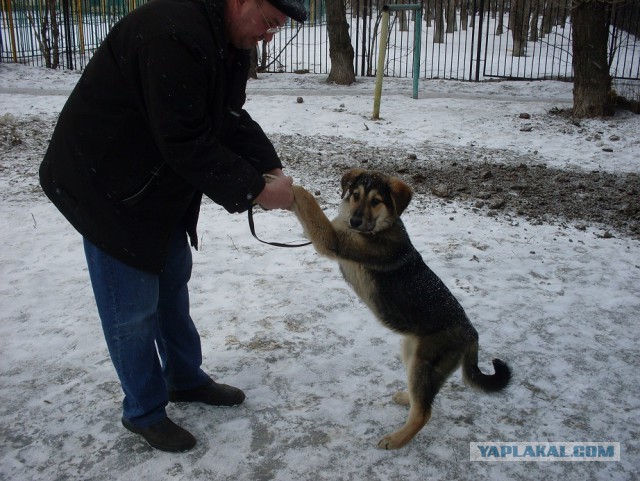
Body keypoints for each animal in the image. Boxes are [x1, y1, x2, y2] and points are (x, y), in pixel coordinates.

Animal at [292, 169, 512, 450]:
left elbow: (308, 202)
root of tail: (472, 333)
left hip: (424, 361)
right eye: (355, 195)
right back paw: (408, 398)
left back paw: (396, 439)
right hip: (412, 351)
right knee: (425, 397)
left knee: (424, 412)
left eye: (376, 201)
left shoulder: (333, 239)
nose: (354, 221)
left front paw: (286, 184)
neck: (381, 227)